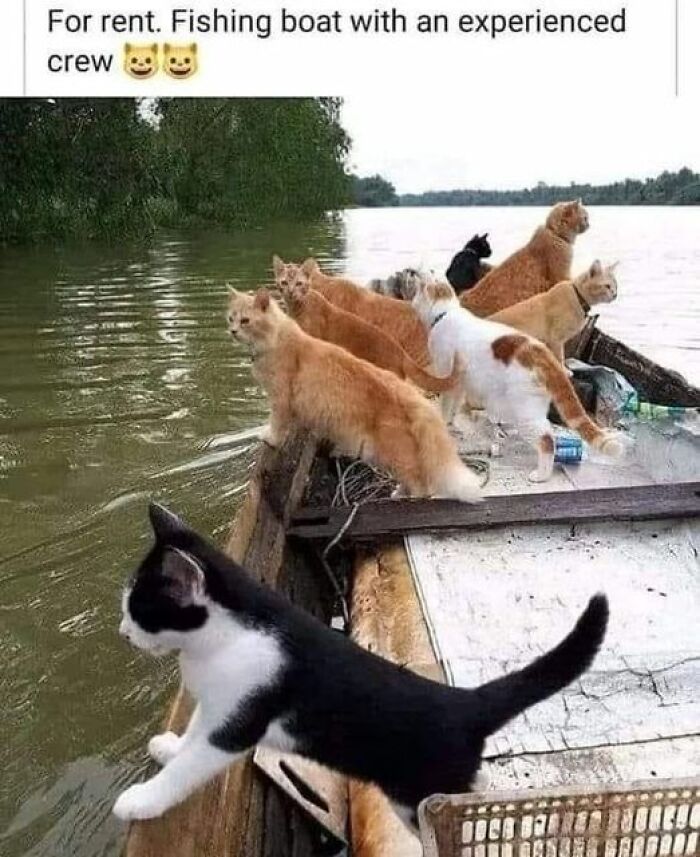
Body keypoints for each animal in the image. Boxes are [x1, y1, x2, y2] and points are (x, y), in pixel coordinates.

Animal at [412, 280, 620, 482]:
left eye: (416, 294)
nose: (412, 302)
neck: (445, 314)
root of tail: (544, 355)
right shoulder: (459, 383)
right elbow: (454, 407)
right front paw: (451, 425)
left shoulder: (446, 374)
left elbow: (445, 406)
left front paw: (444, 423)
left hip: (525, 412)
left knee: (547, 440)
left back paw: (541, 475)